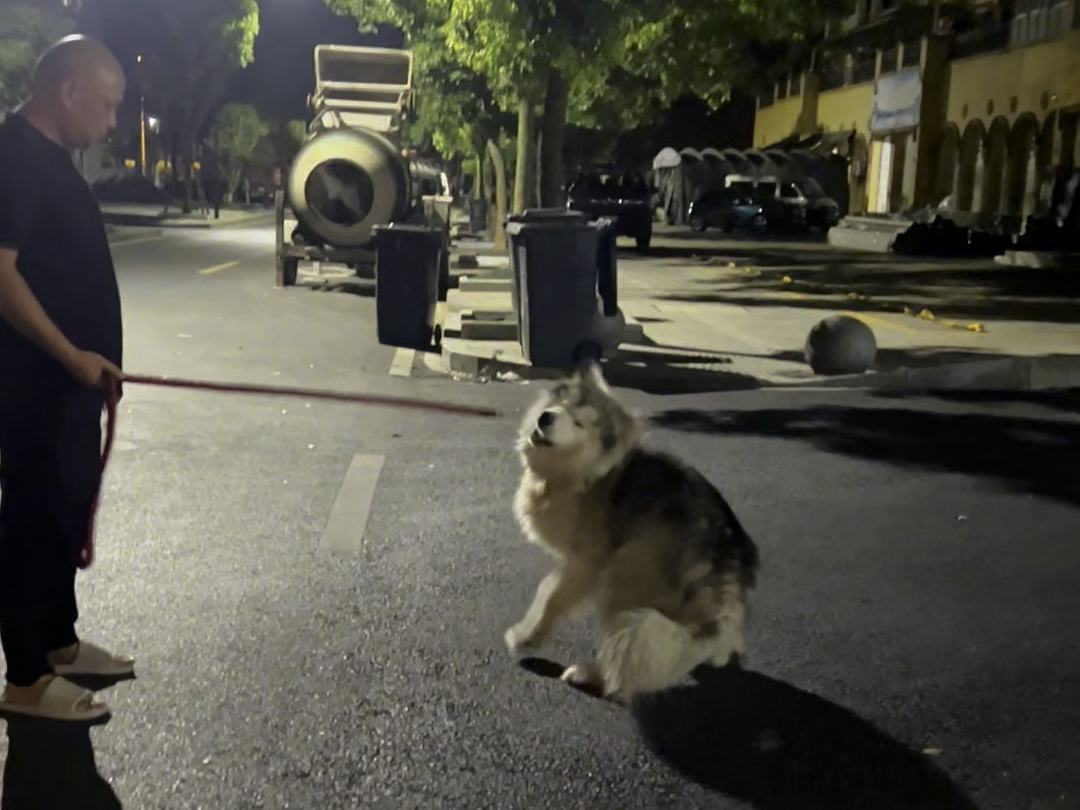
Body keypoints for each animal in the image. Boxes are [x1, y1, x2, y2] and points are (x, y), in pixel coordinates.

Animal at [501, 365, 756, 708]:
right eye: (561, 403)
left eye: (579, 423)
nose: (545, 418)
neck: (587, 475)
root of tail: (726, 559)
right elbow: (548, 588)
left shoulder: (588, 561)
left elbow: (554, 597)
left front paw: (527, 637)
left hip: (626, 567)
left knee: (627, 646)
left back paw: (592, 675)